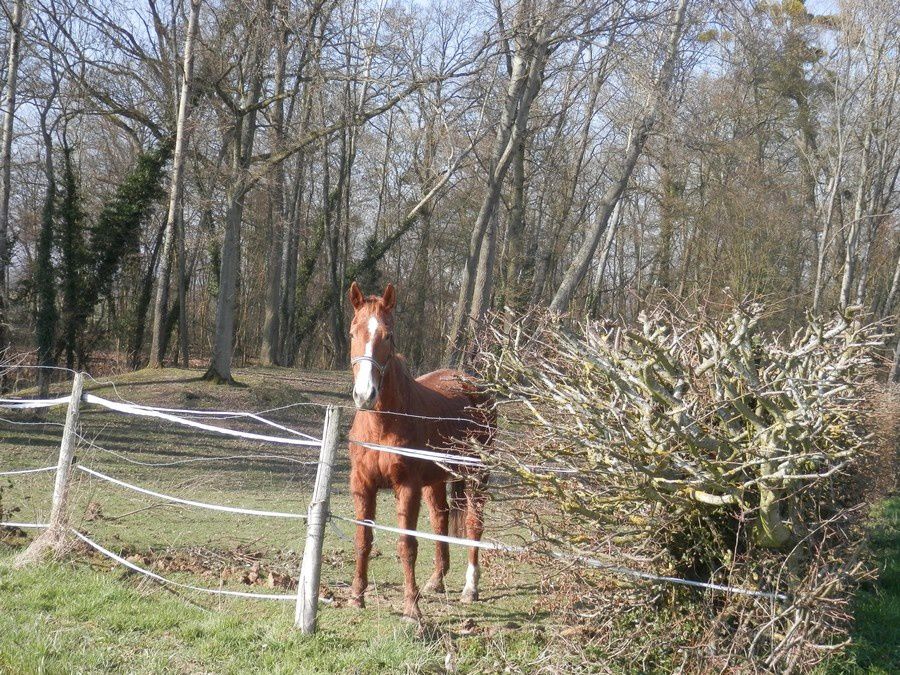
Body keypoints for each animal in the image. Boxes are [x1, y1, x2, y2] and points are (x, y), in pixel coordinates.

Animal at [348, 282, 496, 624]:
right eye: (352, 332)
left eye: (388, 335)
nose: (365, 394)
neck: (383, 422)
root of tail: (473, 385)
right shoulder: (362, 484)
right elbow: (363, 540)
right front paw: (356, 597)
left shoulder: (407, 487)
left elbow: (407, 544)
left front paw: (411, 609)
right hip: (437, 480)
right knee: (441, 519)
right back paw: (436, 581)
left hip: (477, 476)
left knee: (474, 524)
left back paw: (470, 588)